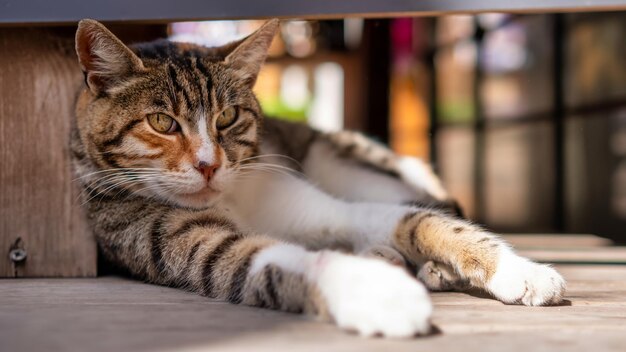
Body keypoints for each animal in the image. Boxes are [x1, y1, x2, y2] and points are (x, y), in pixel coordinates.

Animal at [70, 19, 564, 338]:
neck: (229, 198)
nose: (209, 165)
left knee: (435, 206)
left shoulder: (330, 208)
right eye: (161, 122)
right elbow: (265, 257)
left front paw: (520, 271)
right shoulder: (181, 242)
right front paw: (381, 295)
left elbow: (422, 222)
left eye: (227, 117)